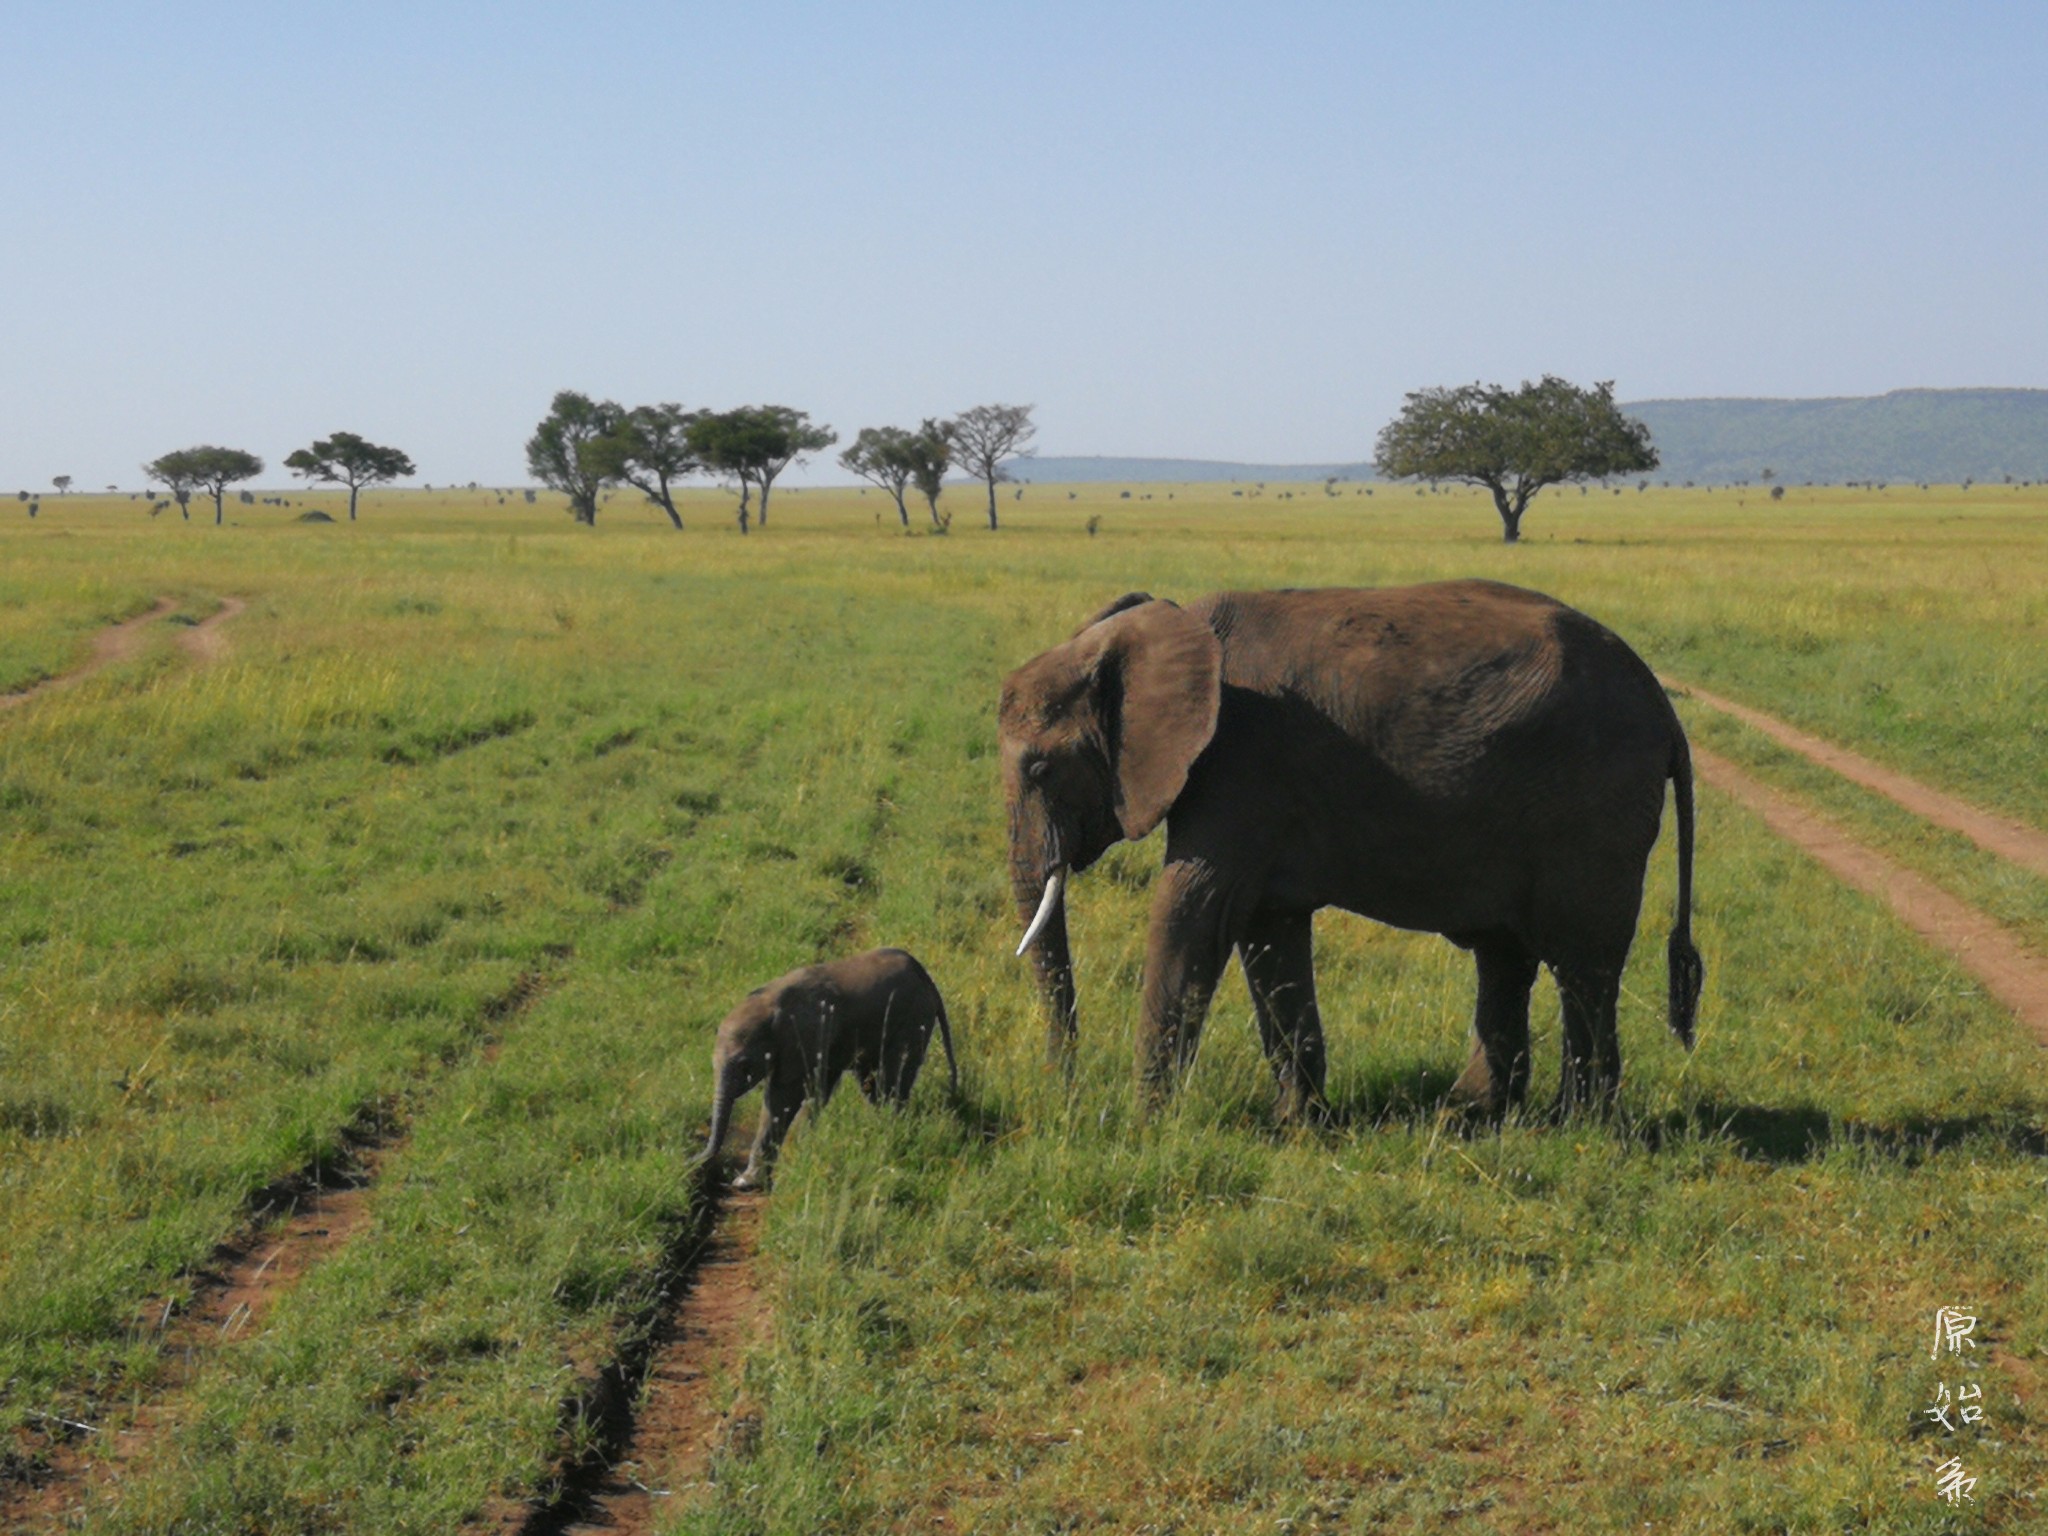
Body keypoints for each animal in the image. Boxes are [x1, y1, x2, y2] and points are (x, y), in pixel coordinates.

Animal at [704, 950, 958, 1187]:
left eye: (744, 1065)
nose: (699, 1161)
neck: (767, 1003)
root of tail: (924, 975)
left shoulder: (803, 1036)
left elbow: (781, 1096)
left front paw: (745, 1183)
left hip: (913, 1018)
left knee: (894, 1078)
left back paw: (889, 1131)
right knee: (871, 1083)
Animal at [999, 577, 1703, 1122]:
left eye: (1040, 770)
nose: (1066, 1088)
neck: (1169, 628)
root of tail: (1665, 709)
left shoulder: (1240, 760)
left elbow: (1195, 909)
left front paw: (1144, 1125)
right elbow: (1269, 935)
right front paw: (1298, 1126)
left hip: (1593, 804)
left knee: (1581, 962)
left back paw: (1577, 1124)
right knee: (1507, 956)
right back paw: (1468, 1114)